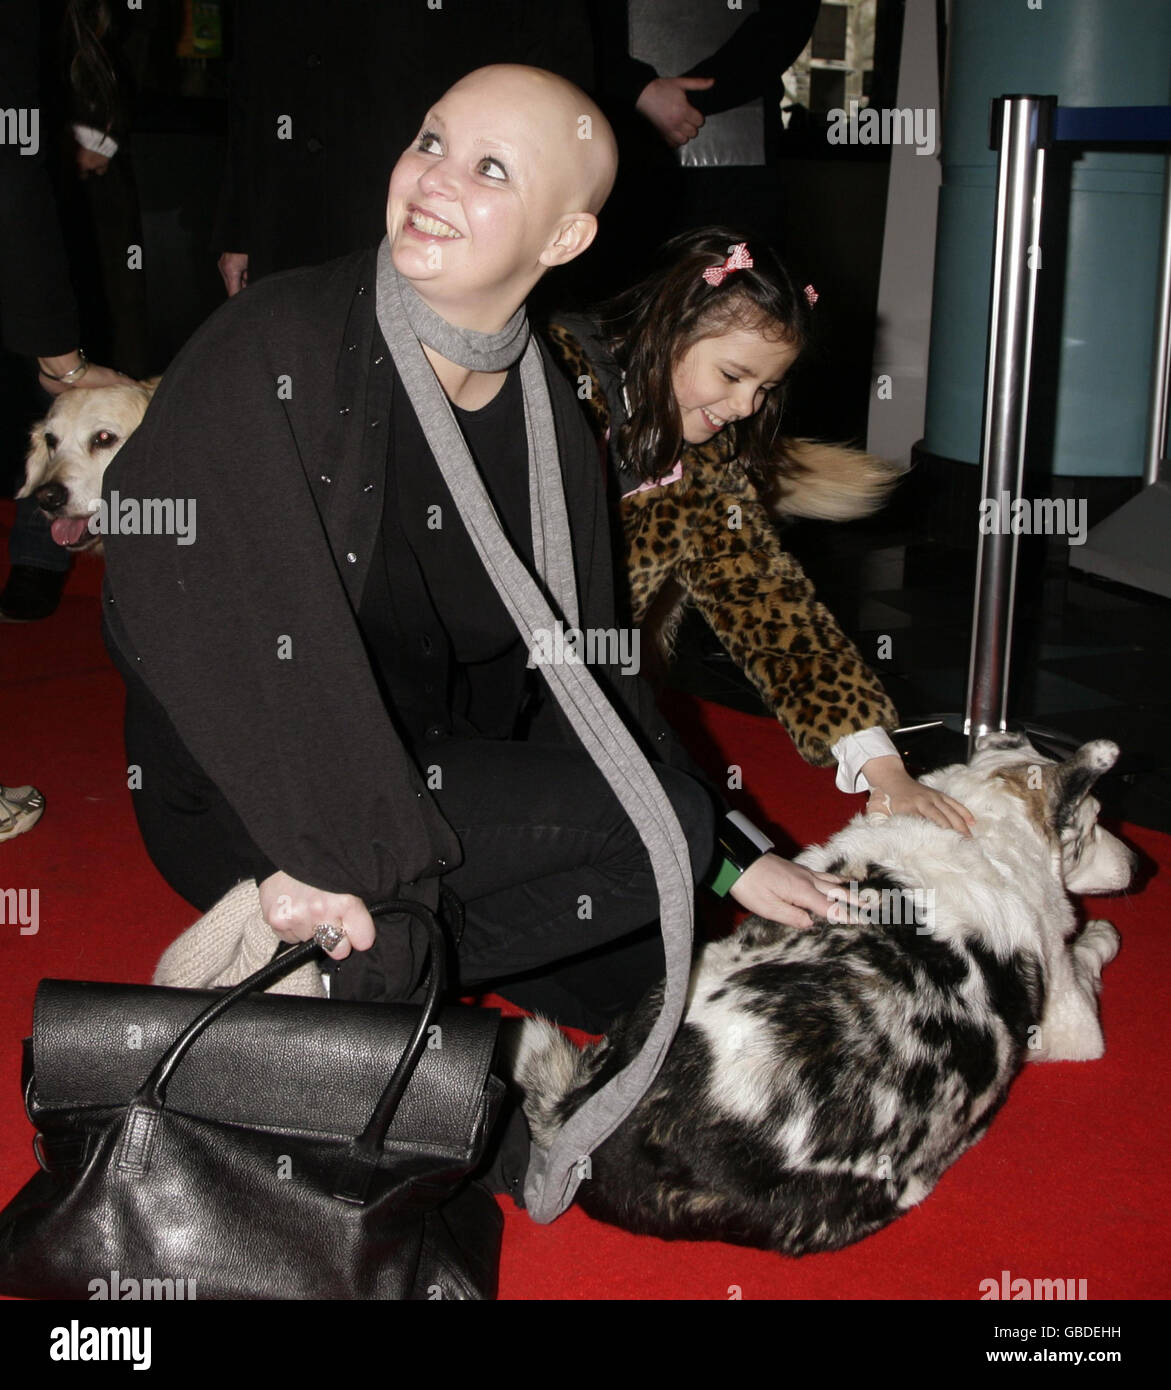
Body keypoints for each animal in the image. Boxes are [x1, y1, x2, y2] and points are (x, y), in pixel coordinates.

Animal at [514, 739, 1134, 1262]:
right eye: (1097, 820)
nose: (1139, 865)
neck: (982, 828)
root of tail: (595, 1118)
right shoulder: (1075, 1021)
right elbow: (1089, 950)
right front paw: (1101, 933)